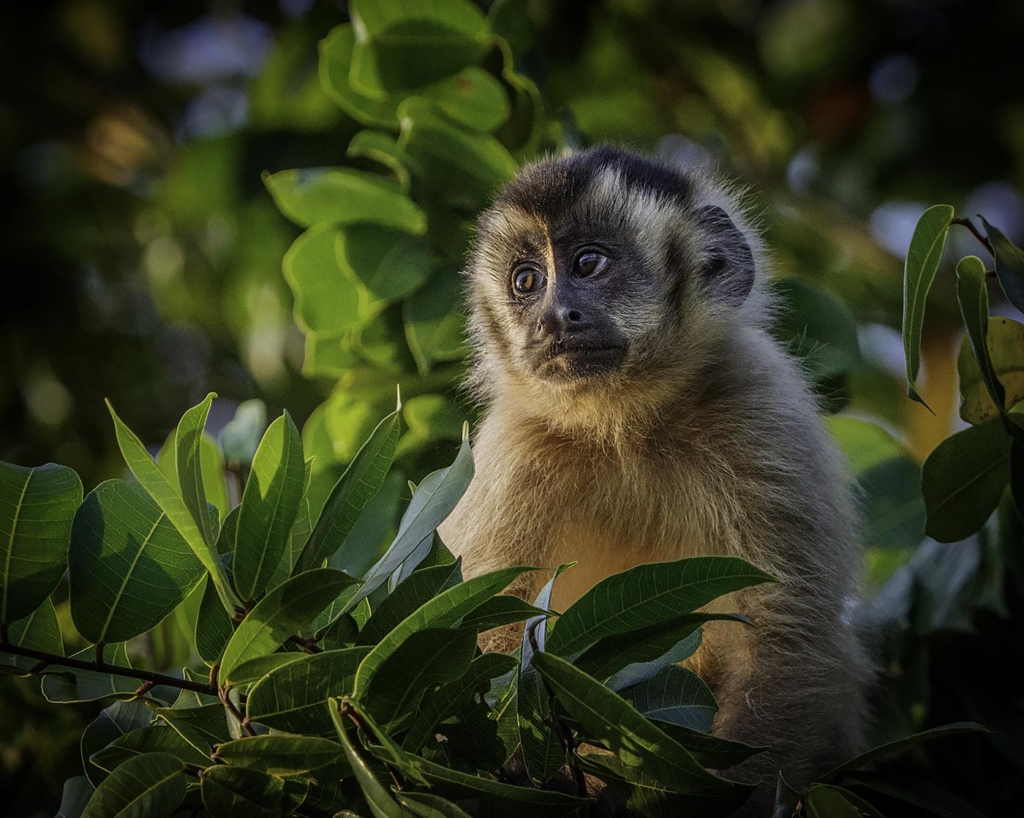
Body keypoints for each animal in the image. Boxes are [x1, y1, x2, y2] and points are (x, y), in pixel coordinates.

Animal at [436, 144, 870, 815]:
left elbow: (784, 638)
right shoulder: (513, 452)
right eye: (526, 282)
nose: (553, 317)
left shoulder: (761, 407)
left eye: (588, 264)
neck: (624, 429)